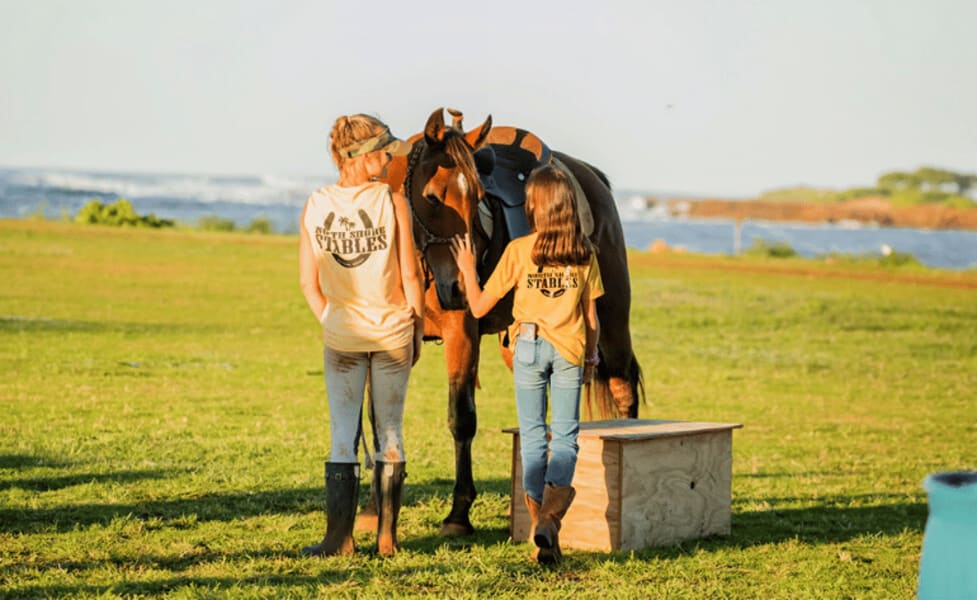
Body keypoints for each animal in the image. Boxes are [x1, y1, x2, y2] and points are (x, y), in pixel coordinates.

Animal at [380, 106, 640, 536]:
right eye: (432, 197)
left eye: (478, 198)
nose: (460, 287)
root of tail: (591, 177)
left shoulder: (462, 333)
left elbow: (461, 418)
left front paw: (458, 514)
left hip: (612, 322)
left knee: (623, 386)